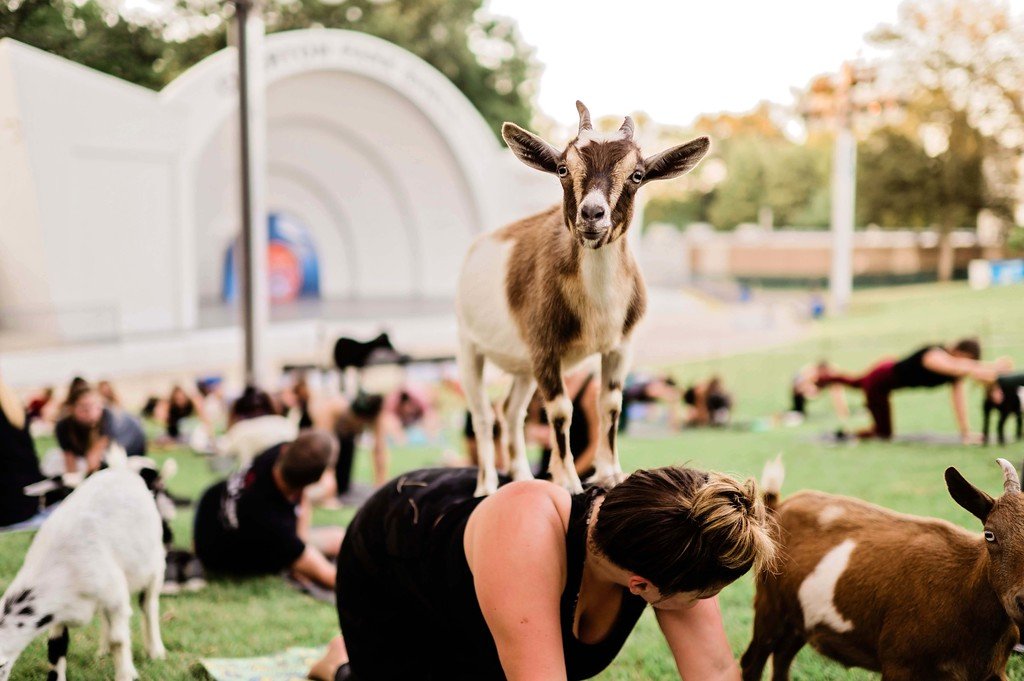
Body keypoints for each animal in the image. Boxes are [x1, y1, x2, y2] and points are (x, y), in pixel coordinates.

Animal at [0, 468, 167, 681]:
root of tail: (120, 469)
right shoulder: (60, 612)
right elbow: (56, 647)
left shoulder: (116, 600)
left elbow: (118, 641)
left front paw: (126, 674)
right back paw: (103, 651)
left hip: (155, 565)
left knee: (149, 606)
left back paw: (155, 651)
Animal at [456, 101, 709, 495]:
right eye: (563, 168)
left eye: (637, 175)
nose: (592, 214)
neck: (597, 306)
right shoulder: (546, 347)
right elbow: (562, 411)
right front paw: (570, 482)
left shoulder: (619, 347)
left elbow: (610, 405)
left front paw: (611, 474)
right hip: (469, 345)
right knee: (483, 415)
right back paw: (487, 487)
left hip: (524, 365)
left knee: (510, 412)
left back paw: (522, 477)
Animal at [742, 457, 1024, 681]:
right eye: (989, 534)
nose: (1022, 601)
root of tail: (777, 507)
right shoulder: (899, 664)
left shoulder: (993, 671)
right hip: (769, 604)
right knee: (753, 661)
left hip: (798, 616)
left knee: (782, 657)